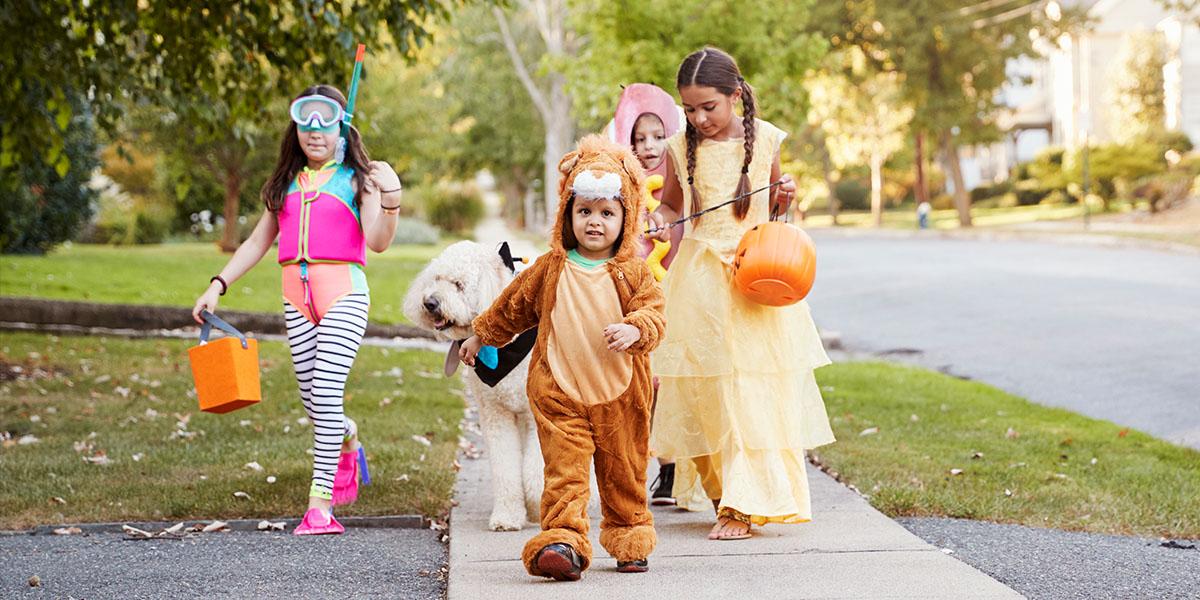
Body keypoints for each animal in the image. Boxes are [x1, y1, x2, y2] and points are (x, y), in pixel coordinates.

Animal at [403, 238, 544, 530]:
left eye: (459, 284)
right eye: (436, 278)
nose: (429, 302)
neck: (505, 346)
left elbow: (537, 469)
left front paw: (538, 506)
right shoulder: (496, 414)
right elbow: (506, 470)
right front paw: (508, 516)